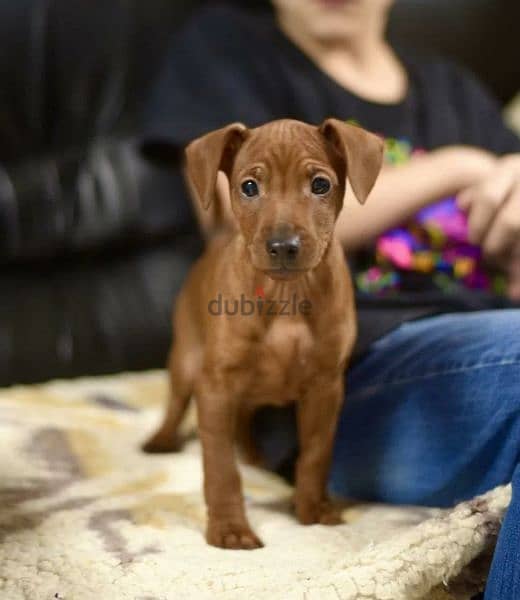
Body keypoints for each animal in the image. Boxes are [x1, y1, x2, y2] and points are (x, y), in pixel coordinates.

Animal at [144, 119, 384, 552]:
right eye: (249, 187)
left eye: (320, 185)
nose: (283, 246)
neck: (286, 295)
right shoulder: (216, 386)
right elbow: (221, 466)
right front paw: (229, 528)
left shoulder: (325, 388)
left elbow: (316, 453)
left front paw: (312, 510)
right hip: (186, 360)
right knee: (175, 404)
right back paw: (162, 439)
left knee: (243, 420)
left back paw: (254, 456)